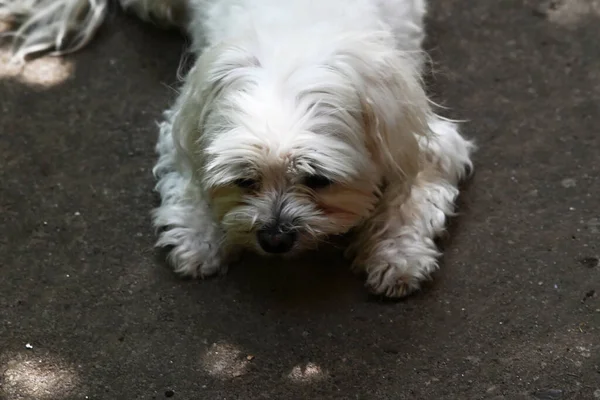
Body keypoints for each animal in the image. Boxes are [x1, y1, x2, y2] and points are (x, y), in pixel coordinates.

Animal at [2, 0, 476, 296]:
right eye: (245, 179)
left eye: (318, 180)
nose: (274, 238)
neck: (293, 52)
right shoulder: (190, 117)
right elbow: (188, 176)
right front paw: (198, 237)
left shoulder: (417, 133)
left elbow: (411, 196)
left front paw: (397, 254)